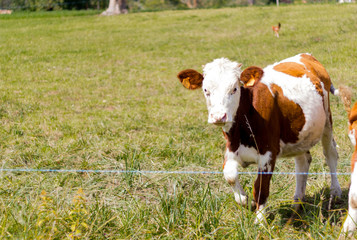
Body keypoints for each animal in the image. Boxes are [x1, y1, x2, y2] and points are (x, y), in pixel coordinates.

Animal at [177, 53, 340, 223]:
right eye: (206, 90)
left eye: (234, 89)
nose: (218, 116)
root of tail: (305, 55)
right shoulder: (231, 149)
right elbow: (230, 175)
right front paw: (245, 201)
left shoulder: (268, 153)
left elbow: (261, 187)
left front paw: (260, 221)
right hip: (300, 136)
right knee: (303, 162)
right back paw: (297, 203)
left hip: (327, 121)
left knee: (330, 154)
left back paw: (335, 193)